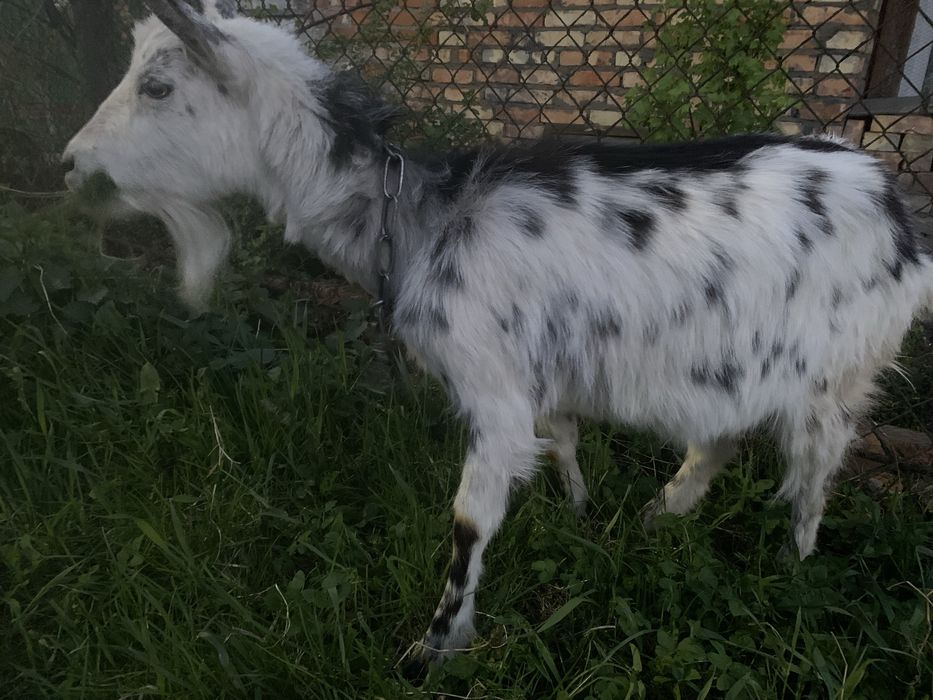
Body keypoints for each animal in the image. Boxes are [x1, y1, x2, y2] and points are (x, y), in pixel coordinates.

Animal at [63, 0, 933, 672]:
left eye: (157, 85)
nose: (73, 164)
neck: (420, 222)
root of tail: (896, 211)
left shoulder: (490, 386)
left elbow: (469, 521)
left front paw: (431, 649)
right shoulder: (538, 378)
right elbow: (565, 440)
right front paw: (579, 515)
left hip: (835, 376)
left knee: (812, 476)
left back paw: (790, 568)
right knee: (717, 437)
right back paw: (658, 516)